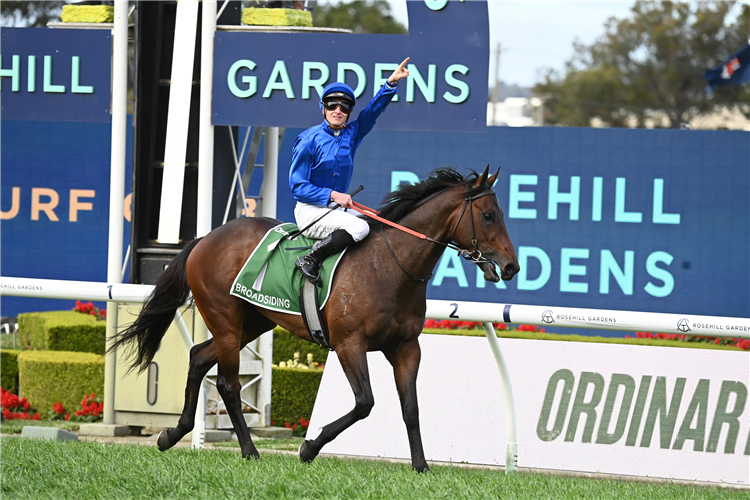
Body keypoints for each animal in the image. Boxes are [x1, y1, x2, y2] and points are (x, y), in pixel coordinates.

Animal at [111, 166, 520, 470]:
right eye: (488, 215)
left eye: (500, 214)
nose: (511, 266)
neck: (389, 267)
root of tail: (205, 239)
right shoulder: (349, 344)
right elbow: (365, 402)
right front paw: (309, 447)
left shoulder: (406, 347)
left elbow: (411, 408)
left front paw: (421, 466)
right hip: (226, 320)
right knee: (227, 384)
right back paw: (249, 451)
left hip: (254, 321)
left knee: (198, 356)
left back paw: (171, 434)